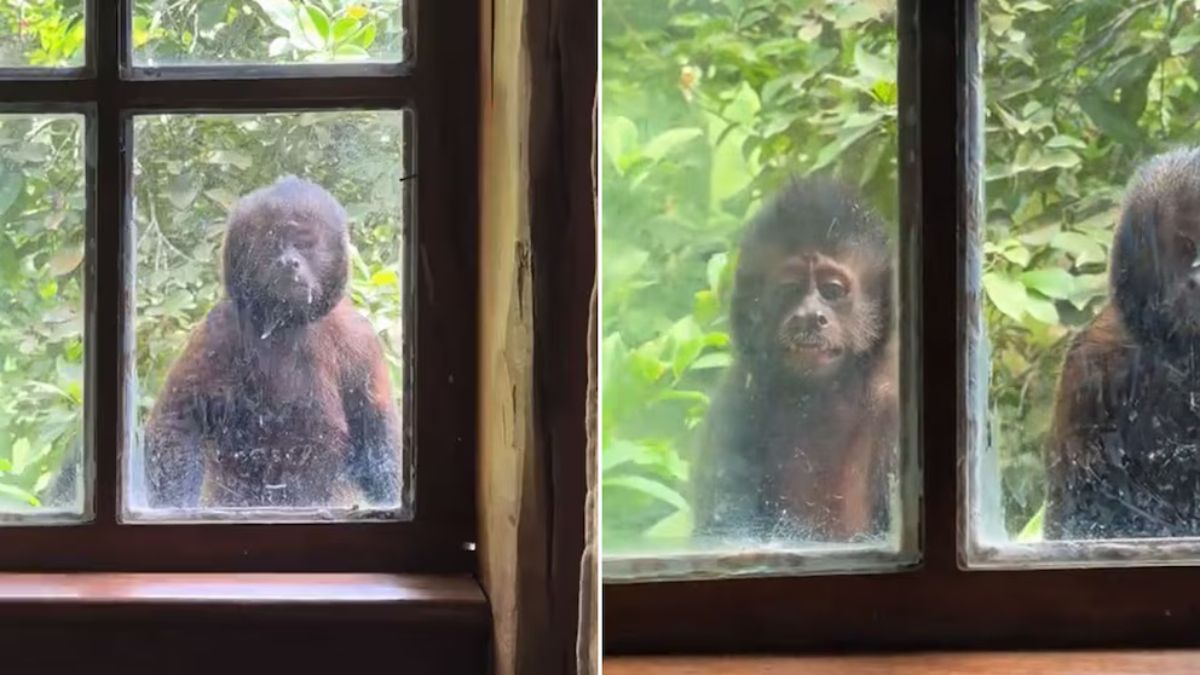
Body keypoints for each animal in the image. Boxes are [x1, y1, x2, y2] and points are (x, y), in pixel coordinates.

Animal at [142, 176, 402, 510]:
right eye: (272, 241)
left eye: (303, 243)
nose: (288, 262)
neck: (287, 324)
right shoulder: (221, 327)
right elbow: (176, 423)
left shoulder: (358, 338)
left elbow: (376, 436)